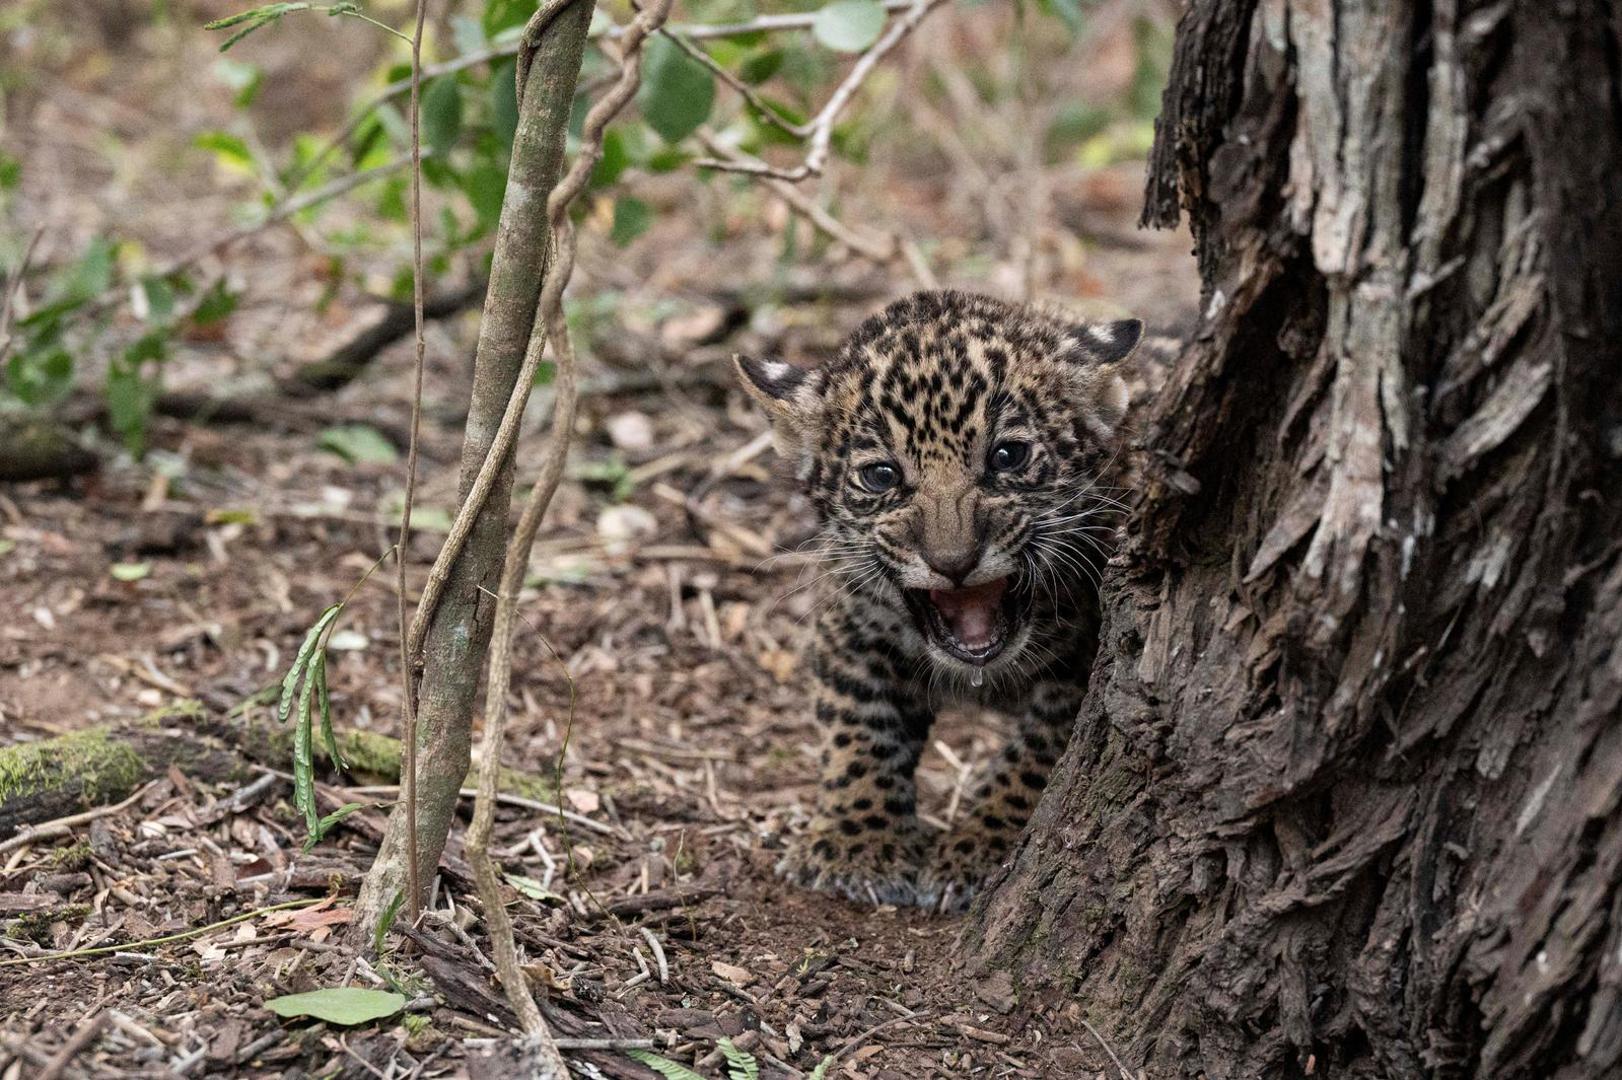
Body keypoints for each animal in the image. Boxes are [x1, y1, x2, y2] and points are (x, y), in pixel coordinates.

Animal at [735, 289, 1142, 911]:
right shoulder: (850, 631)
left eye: (1007, 457)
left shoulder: (1088, 663)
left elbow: (1036, 757)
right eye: (881, 476)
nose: (953, 562)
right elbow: (857, 729)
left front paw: (977, 847)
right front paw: (857, 844)